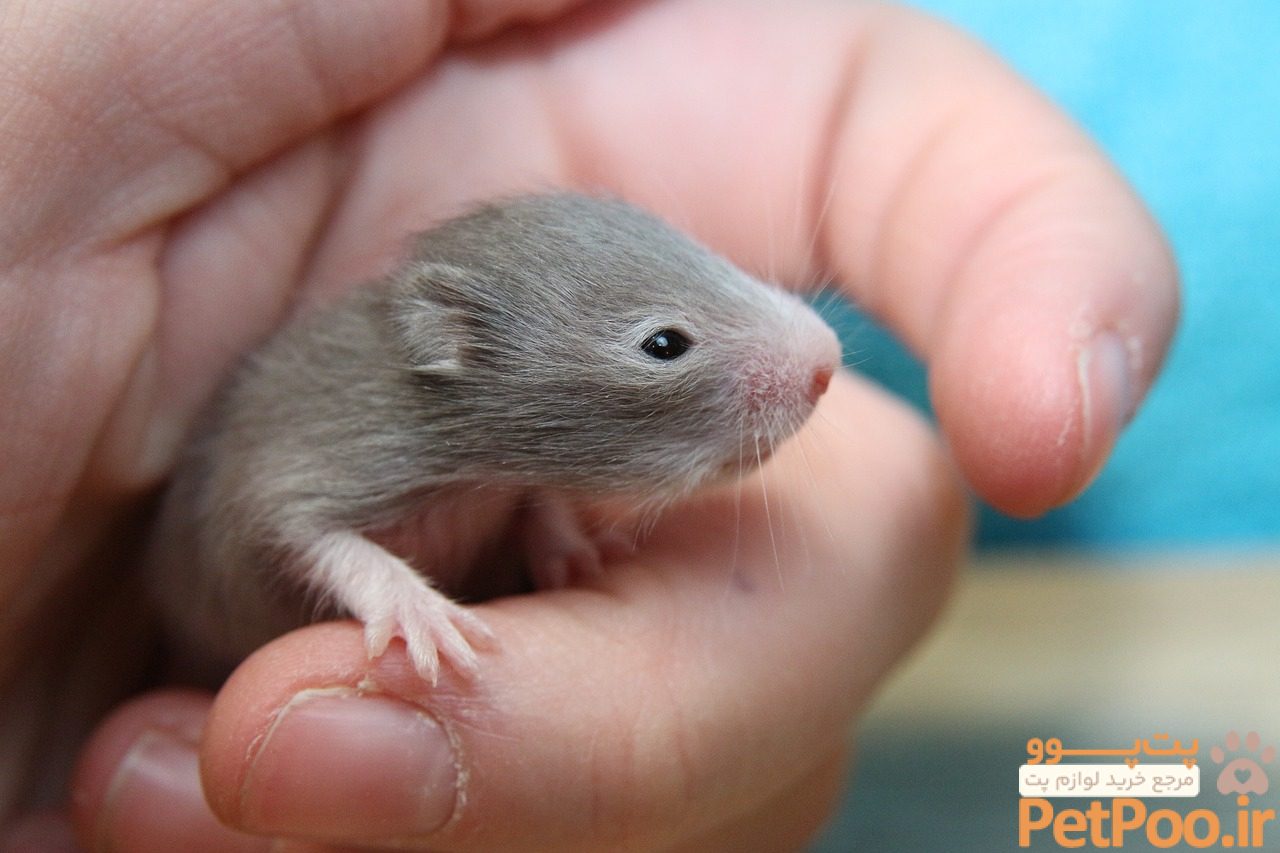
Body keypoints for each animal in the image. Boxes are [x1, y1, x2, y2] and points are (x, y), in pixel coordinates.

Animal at [148, 193, 841, 684]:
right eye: (664, 344)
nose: (829, 360)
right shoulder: (330, 453)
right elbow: (305, 532)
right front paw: (416, 609)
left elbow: (539, 502)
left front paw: (574, 550)